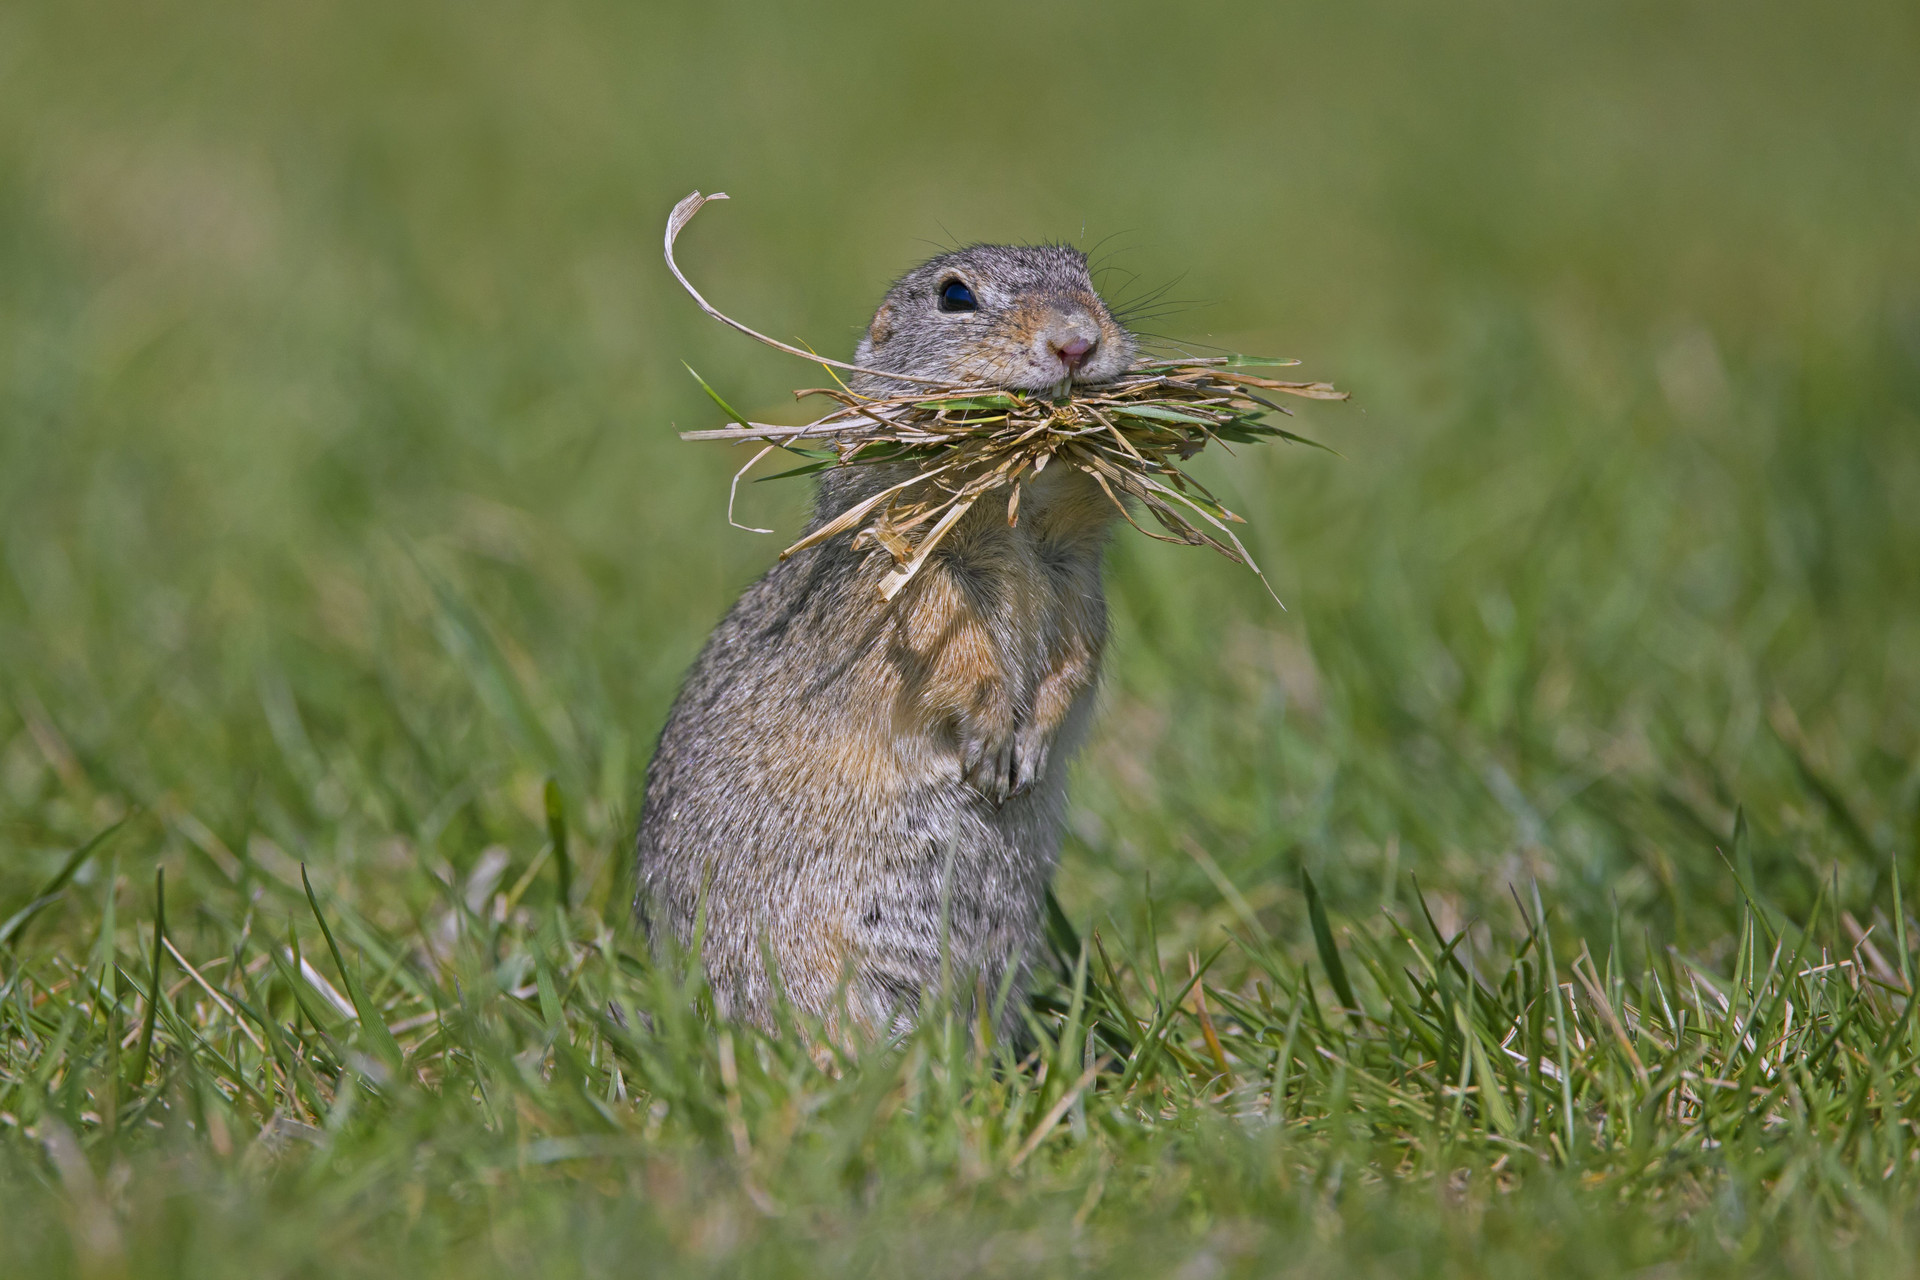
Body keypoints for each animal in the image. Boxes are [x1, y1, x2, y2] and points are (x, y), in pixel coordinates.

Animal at [637, 245, 1128, 1036]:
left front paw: (1032, 745)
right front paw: (992, 744)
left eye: (1087, 276)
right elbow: (955, 655)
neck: (1021, 511)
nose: (1077, 341)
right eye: (955, 297)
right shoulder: (906, 577)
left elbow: (1078, 658)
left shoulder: (1079, 581)